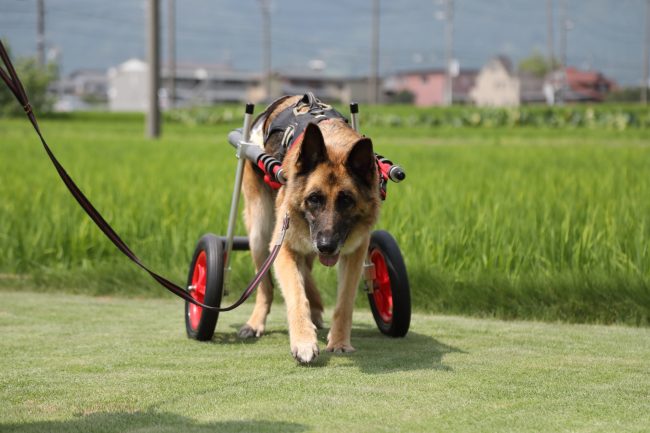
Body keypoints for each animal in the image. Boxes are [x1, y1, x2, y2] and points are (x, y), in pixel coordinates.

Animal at [238, 93, 380, 362]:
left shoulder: (355, 253)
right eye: (314, 198)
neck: (334, 144)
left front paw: (339, 342)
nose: (326, 246)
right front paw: (304, 341)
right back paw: (254, 323)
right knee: (266, 287)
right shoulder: (282, 248)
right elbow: (296, 295)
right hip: (261, 235)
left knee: (305, 268)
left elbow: (344, 303)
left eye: (346, 200)